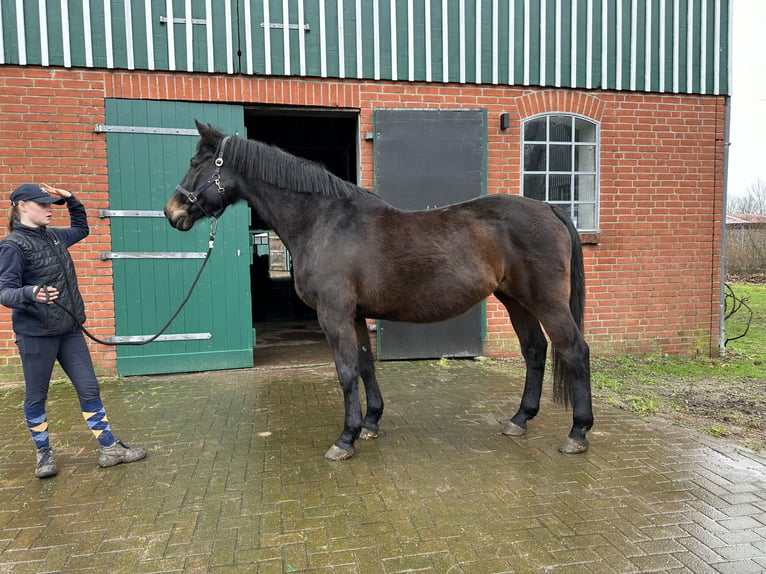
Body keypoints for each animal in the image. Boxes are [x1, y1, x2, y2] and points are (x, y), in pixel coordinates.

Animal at [164, 122, 592, 464]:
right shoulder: (354, 315)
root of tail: (549, 208)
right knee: (535, 350)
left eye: (197, 162)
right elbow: (366, 365)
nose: (172, 213)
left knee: (574, 350)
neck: (323, 222)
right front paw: (370, 423)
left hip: (546, 302)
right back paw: (520, 419)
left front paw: (345, 439)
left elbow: (346, 371)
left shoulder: (333, 314)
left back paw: (578, 433)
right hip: (515, 301)